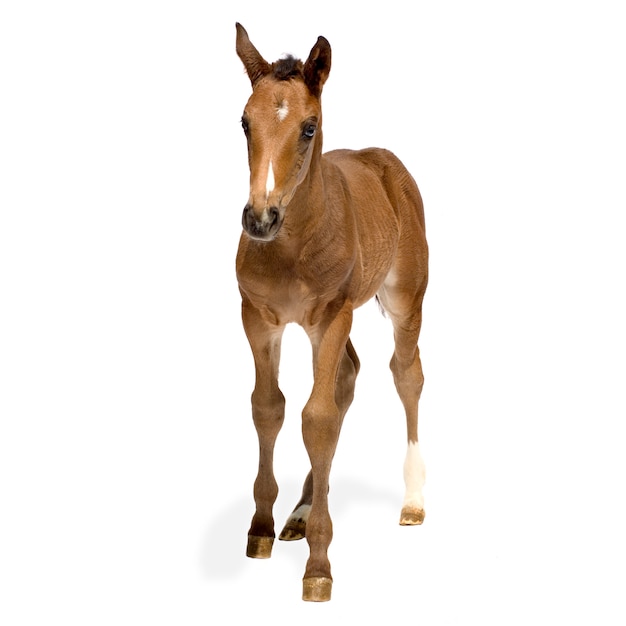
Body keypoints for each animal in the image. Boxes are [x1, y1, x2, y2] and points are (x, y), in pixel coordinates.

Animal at [234, 23, 428, 600]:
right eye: (244, 122)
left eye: (308, 127)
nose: (259, 218)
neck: (292, 242)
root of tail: (386, 162)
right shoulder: (258, 319)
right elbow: (269, 408)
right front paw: (261, 528)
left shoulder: (331, 316)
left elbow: (316, 418)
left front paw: (318, 567)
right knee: (347, 376)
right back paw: (300, 511)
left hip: (405, 300)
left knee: (406, 375)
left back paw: (413, 501)